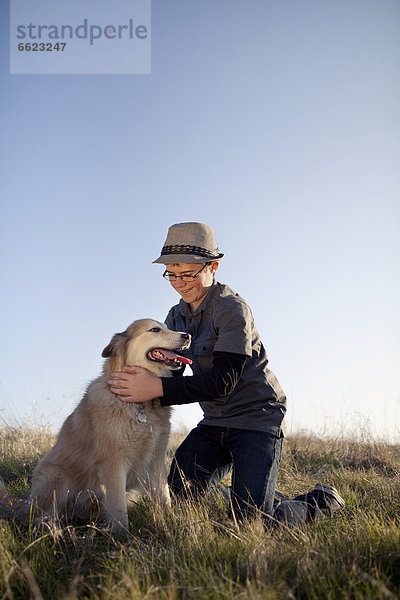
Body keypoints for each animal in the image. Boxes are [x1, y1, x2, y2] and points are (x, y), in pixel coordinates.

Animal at [27, 322, 191, 536]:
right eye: (155, 329)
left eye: (166, 327)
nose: (187, 336)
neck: (140, 406)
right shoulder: (114, 462)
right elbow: (117, 504)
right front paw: (122, 535)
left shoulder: (157, 458)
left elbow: (163, 496)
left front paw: (169, 521)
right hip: (57, 477)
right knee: (42, 514)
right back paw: (53, 528)